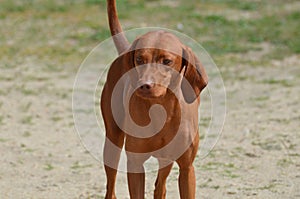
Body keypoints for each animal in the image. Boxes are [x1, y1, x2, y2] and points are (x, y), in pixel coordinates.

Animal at [102, 0, 207, 198]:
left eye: (167, 61)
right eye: (139, 59)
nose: (145, 85)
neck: (161, 110)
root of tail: (126, 47)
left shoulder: (187, 168)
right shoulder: (135, 164)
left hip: (166, 159)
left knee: (160, 187)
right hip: (113, 142)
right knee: (110, 187)